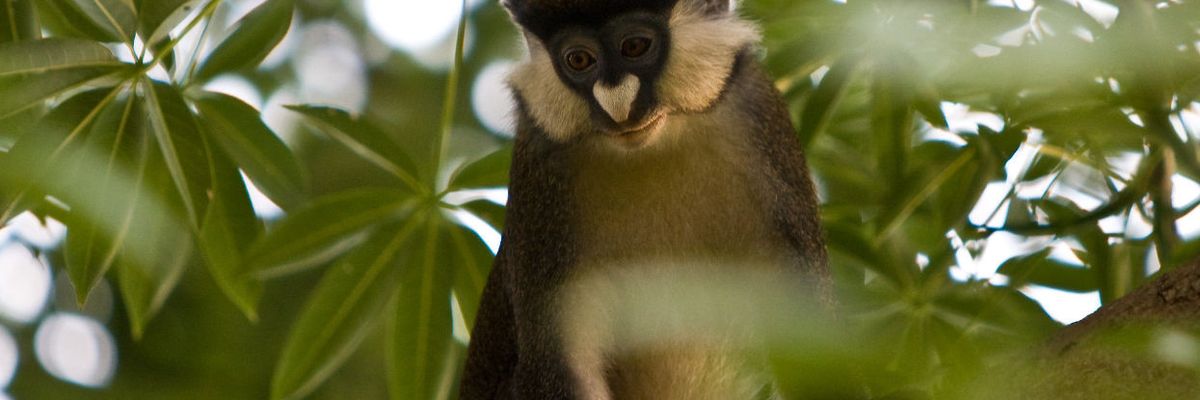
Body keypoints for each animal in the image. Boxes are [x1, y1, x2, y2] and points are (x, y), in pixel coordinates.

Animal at [460, 0, 830, 398]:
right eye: (579, 60)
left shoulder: (760, 117)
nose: (617, 104)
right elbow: (557, 362)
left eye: (634, 46)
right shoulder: (539, 169)